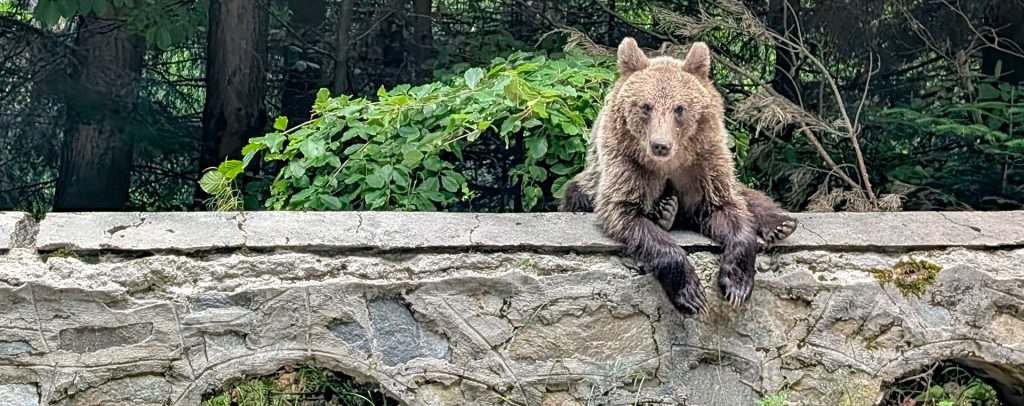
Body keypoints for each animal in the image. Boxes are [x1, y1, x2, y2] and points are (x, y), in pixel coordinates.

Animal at [559, 37, 797, 315]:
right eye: (646, 106)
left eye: (679, 108)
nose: (660, 145)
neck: (671, 164)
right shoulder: (627, 165)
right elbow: (624, 213)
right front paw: (692, 294)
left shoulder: (704, 165)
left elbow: (727, 209)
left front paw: (737, 285)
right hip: (589, 180)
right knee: (577, 195)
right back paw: (666, 212)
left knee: (747, 195)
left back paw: (780, 224)